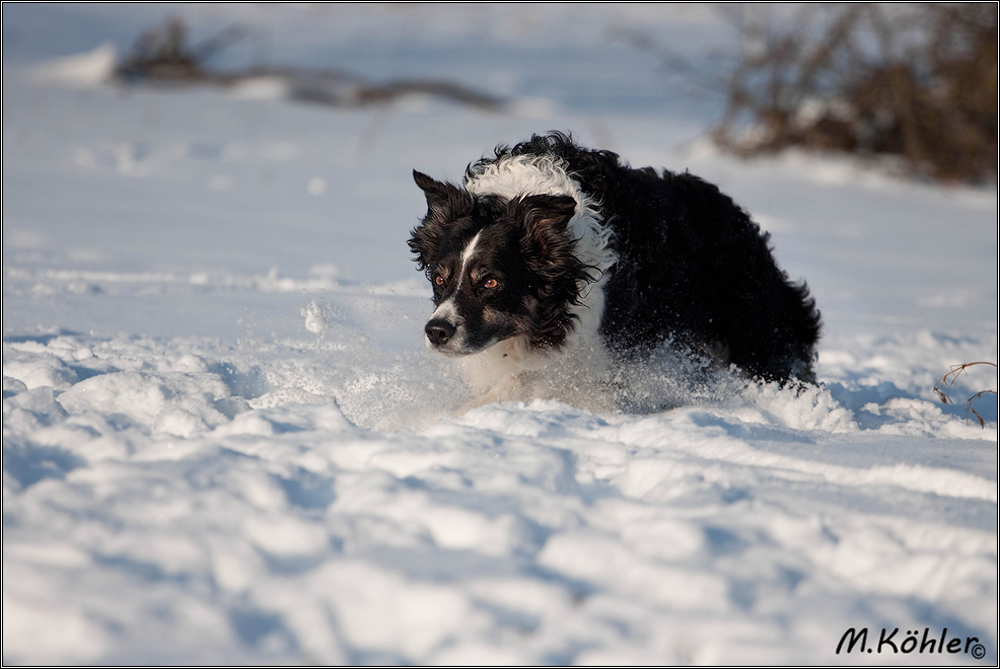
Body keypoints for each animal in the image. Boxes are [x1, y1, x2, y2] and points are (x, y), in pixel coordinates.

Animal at [406, 132, 820, 410]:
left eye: (491, 281)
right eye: (440, 279)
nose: (436, 332)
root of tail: (741, 220)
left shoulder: (596, 359)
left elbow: (524, 382)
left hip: (756, 333)